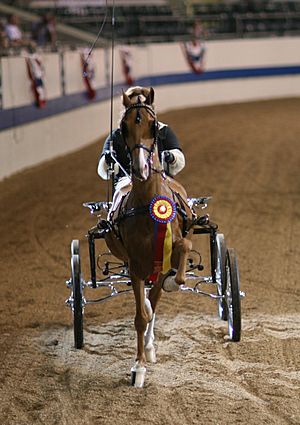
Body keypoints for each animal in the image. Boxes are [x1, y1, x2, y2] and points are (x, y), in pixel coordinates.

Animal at [105, 86, 195, 384]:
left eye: (153, 125)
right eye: (123, 127)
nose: (140, 168)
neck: (146, 206)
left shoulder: (164, 256)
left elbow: (184, 247)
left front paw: (173, 282)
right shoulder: (135, 266)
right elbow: (140, 317)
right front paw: (138, 367)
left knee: (154, 302)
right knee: (148, 306)